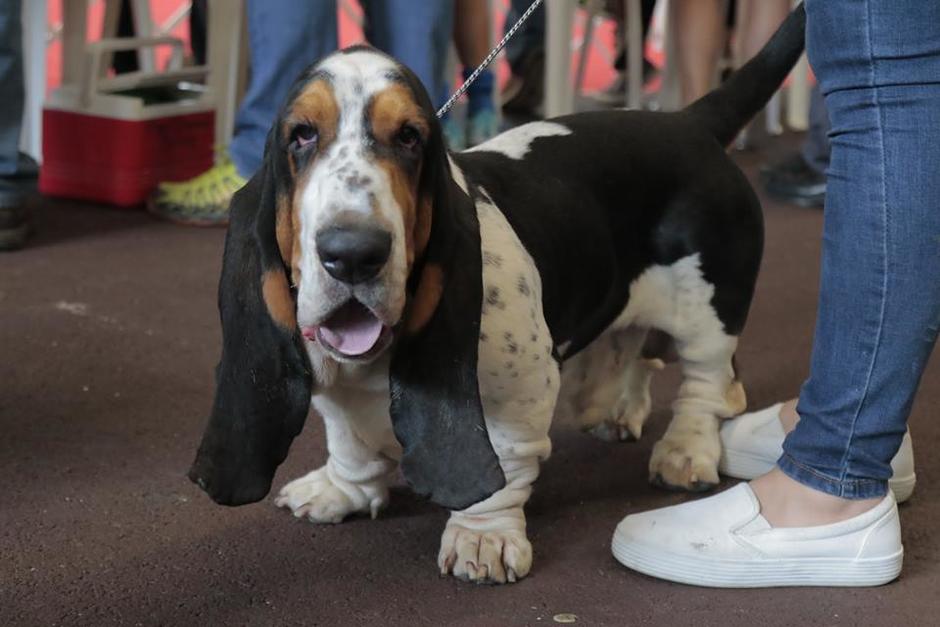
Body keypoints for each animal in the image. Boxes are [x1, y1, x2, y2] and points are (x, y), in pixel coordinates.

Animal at [187, 3, 804, 584]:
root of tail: (689, 121)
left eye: (409, 137)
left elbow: (501, 470)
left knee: (707, 385)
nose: (353, 253)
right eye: (302, 135)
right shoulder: (333, 390)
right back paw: (616, 409)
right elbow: (351, 445)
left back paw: (685, 452)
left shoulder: (521, 390)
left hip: (707, 311)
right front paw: (339, 490)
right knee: (640, 350)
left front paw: (482, 538)